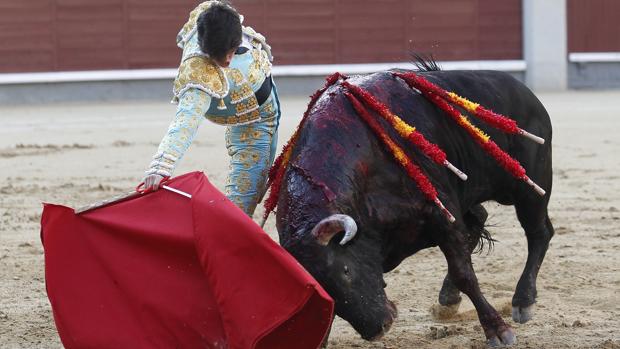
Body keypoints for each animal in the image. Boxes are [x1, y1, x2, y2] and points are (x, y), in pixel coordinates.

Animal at [274, 69, 556, 344]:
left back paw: (523, 301)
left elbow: (465, 274)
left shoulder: (442, 213)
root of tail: (526, 92)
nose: (378, 329)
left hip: (530, 187)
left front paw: (497, 330)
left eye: (345, 270)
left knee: (540, 232)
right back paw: (448, 298)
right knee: (481, 218)